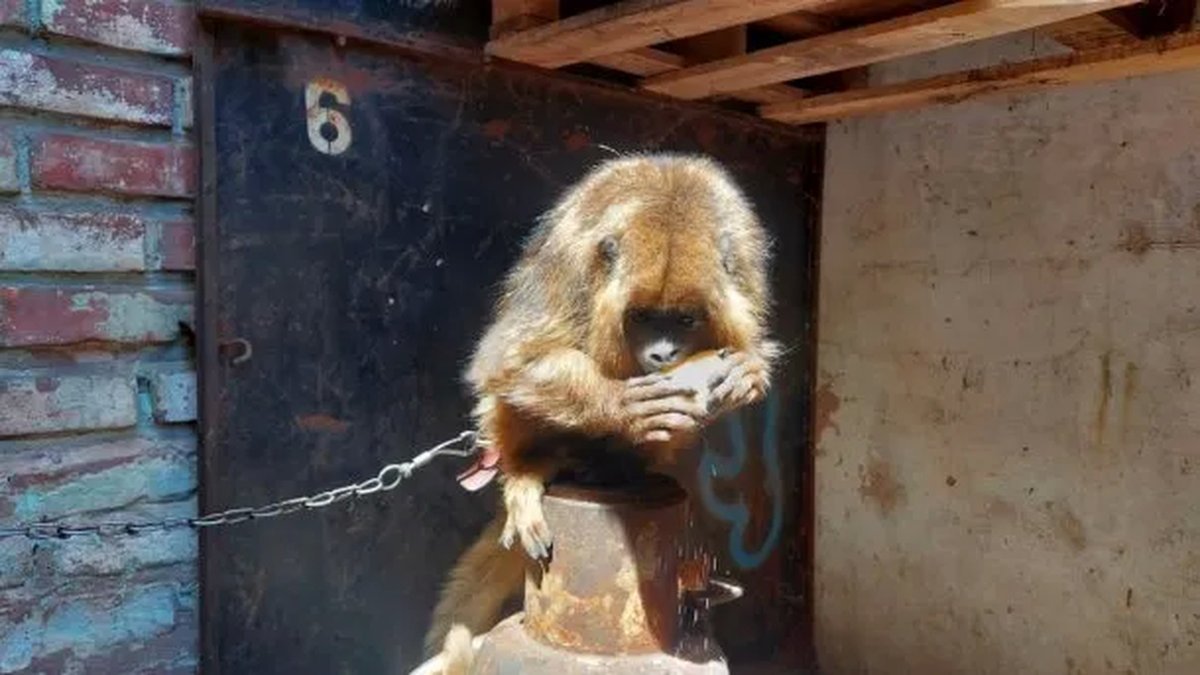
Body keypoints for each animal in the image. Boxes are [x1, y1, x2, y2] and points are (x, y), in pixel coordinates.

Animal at [420, 152, 779, 667]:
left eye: (685, 319)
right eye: (643, 318)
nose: (663, 353)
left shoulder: (748, 271)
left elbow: (747, 344)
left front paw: (747, 372)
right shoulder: (569, 259)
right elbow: (508, 361)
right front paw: (623, 404)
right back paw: (530, 471)